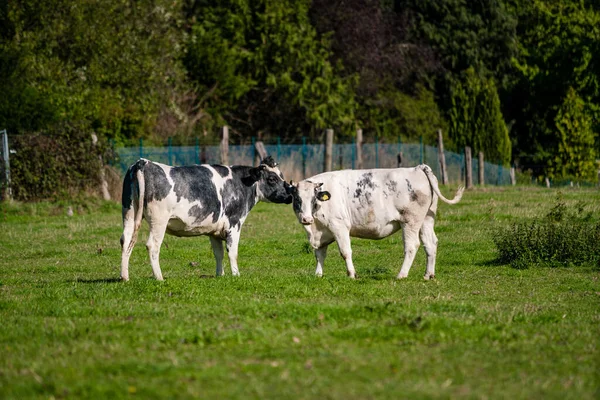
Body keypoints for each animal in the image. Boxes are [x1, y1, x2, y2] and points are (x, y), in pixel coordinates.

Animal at [118, 155, 292, 280]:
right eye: (272, 179)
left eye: (281, 175)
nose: (290, 193)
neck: (241, 183)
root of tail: (143, 163)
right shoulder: (234, 223)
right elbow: (232, 251)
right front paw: (236, 275)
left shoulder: (214, 230)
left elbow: (218, 253)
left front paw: (220, 275)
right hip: (159, 220)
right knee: (152, 245)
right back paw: (159, 277)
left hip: (129, 213)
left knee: (125, 240)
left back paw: (124, 277)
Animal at [288, 164, 466, 280]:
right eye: (297, 199)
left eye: (314, 199)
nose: (306, 219)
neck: (314, 228)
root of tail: (418, 168)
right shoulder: (321, 233)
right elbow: (319, 254)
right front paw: (318, 274)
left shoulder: (339, 226)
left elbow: (345, 252)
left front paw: (351, 274)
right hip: (426, 220)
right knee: (430, 243)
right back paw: (428, 275)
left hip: (410, 221)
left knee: (412, 246)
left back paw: (401, 275)